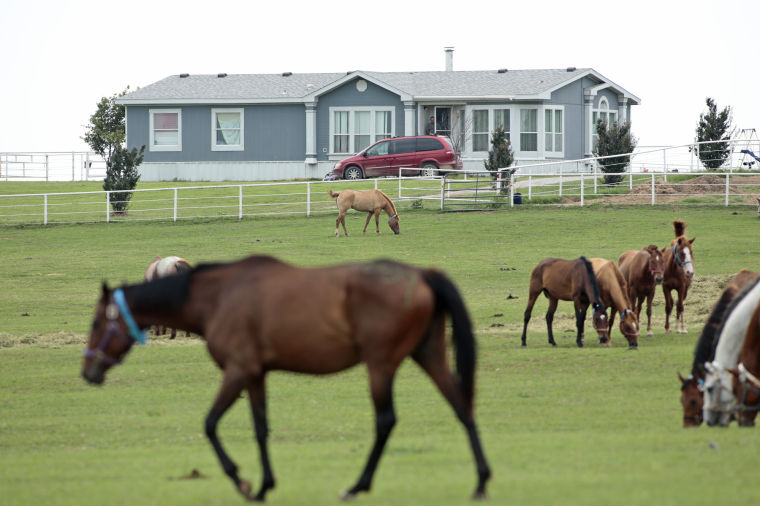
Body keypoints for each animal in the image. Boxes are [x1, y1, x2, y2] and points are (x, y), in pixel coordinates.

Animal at [80, 256, 490, 502]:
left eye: (97, 323)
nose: (87, 371)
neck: (216, 297)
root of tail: (421, 274)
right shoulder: (255, 375)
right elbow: (261, 428)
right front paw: (264, 485)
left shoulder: (238, 371)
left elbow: (210, 424)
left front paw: (242, 481)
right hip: (429, 354)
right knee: (462, 406)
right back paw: (481, 481)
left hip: (381, 364)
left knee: (386, 421)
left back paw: (357, 486)